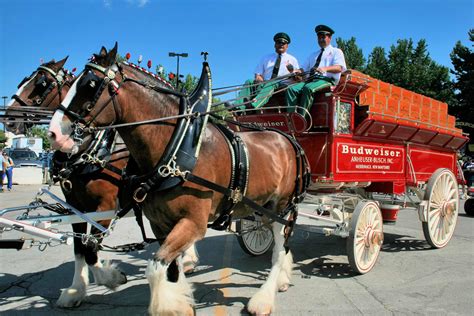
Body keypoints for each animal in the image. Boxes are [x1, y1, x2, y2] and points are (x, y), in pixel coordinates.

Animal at [6, 58, 198, 308]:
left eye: (41, 83)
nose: (10, 119)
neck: (90, 151)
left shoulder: (105, 206)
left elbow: (90, 248)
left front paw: (111, 277)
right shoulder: (76, 207)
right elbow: (79, 248)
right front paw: (76, 290)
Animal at [48, 45, 308, 316]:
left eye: (90, 84)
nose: (53, 134)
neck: (175, 149)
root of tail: (289, 139)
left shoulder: (191, 222)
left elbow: (153, 266)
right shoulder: (156, 223)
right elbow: (168, 267)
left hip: (281, 207)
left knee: (279, 250)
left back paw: (264, 298)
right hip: (261, 206)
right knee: (281, 244)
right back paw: (282, 280)